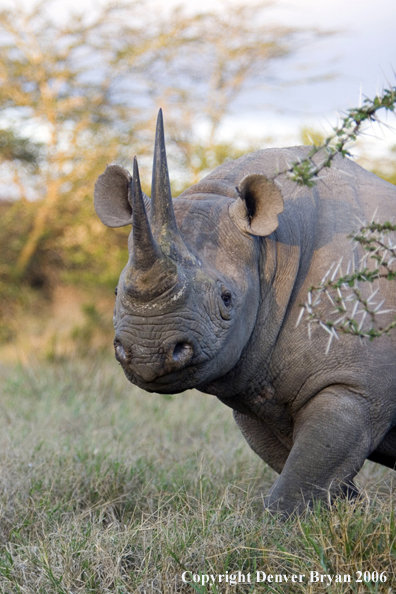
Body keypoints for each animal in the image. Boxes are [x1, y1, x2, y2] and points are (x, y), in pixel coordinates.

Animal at [95, 110, 396, 512]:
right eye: (116, 291)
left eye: (226, 299)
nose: (148, 353)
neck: (271, 247)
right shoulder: (255, 390)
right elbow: (309, 470)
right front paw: (346, 512)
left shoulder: (356, 387)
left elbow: (304, 476)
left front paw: (282, 524)